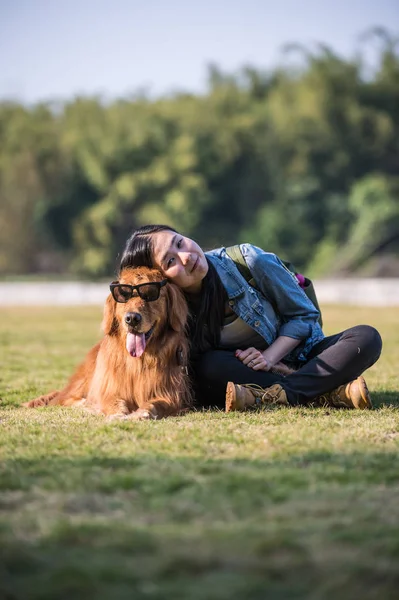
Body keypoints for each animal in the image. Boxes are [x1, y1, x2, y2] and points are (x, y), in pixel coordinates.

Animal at [24, 268, 193, 422]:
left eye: (150, 294)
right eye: (123, 295)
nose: (132, 318)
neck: (138, 361)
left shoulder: (169, 395)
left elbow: (154, 405)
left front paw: (140, 414)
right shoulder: (110, 390)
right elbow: (114, 403)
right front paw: (117, 415)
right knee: (66, 398)